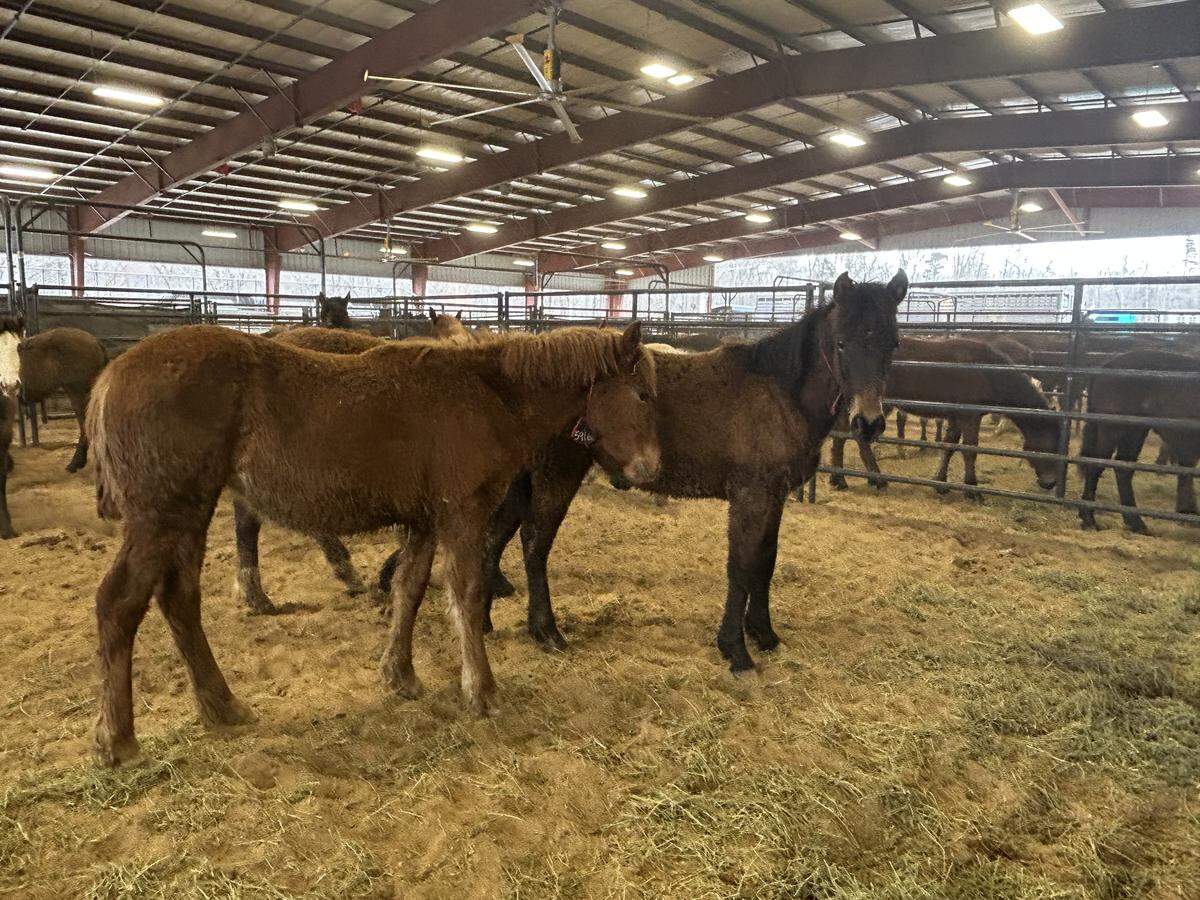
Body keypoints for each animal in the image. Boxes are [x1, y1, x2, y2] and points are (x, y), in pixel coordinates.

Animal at [86, 322, 659, 765]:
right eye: (643, 394)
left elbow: (410, 590)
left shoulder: (424, 521)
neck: (485, 393)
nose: (649, 470)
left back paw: (223, 707)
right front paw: (482, 691)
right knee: (120, 603)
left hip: (187, 516)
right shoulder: (462, 514)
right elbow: (467, 595)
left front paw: (400, 675)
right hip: (164, 515)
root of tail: (110, 375)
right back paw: (120, 739)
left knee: (179, 600)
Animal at [466, 271, 907, 668]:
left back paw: (484, 621)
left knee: (495, 535)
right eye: (842, 343)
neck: (779, 393)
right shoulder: (750, 496)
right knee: (534, 543)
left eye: (893, 342)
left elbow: (765, 561)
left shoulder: (773, 496)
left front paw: (764, 634)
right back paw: (546, 631)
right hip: (556, 472)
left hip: (523, 479)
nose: (869, 422)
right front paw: (735, 649)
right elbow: (742, 566)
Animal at [830, 337, 1060, 499]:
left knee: (843, 435)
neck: (987, 370)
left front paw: (940, 483)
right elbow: (970, 451)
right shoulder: (970, 417)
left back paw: (841, 478)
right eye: (1051, 446)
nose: (1049, 483)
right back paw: (872, 479)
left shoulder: (956, 417)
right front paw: (972, 489)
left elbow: (949, 446)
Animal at [1078, 350, 1200, 534]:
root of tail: (1106, 365)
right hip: (1113, 429)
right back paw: (1089, 519)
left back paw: (1135, 522)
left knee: (1123, 467)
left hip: (1135, 431)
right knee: (1097, 465)